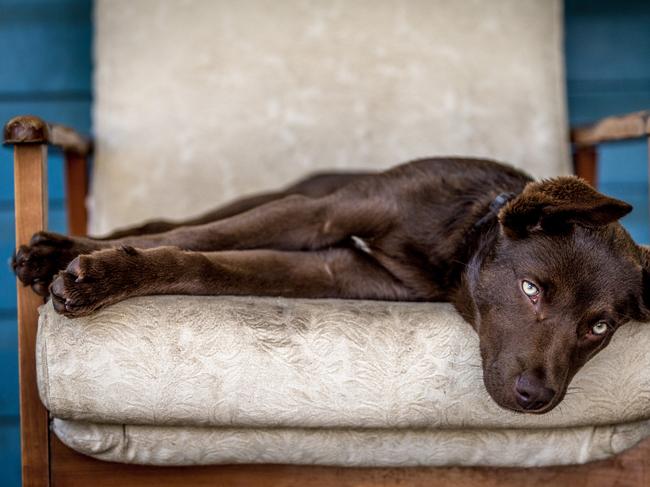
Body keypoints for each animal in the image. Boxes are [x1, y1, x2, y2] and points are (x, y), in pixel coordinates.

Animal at [11, 159, 648, 416]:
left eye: (599, 327)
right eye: (530, 288)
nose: (537, 397)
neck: (456, 239)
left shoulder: (333, 272)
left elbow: (207, 264)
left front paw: (105, 270)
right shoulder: (317, 215)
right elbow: (193, 238)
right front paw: (95, 270)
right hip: (287, 195)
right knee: (174, 221)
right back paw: (62, 247)